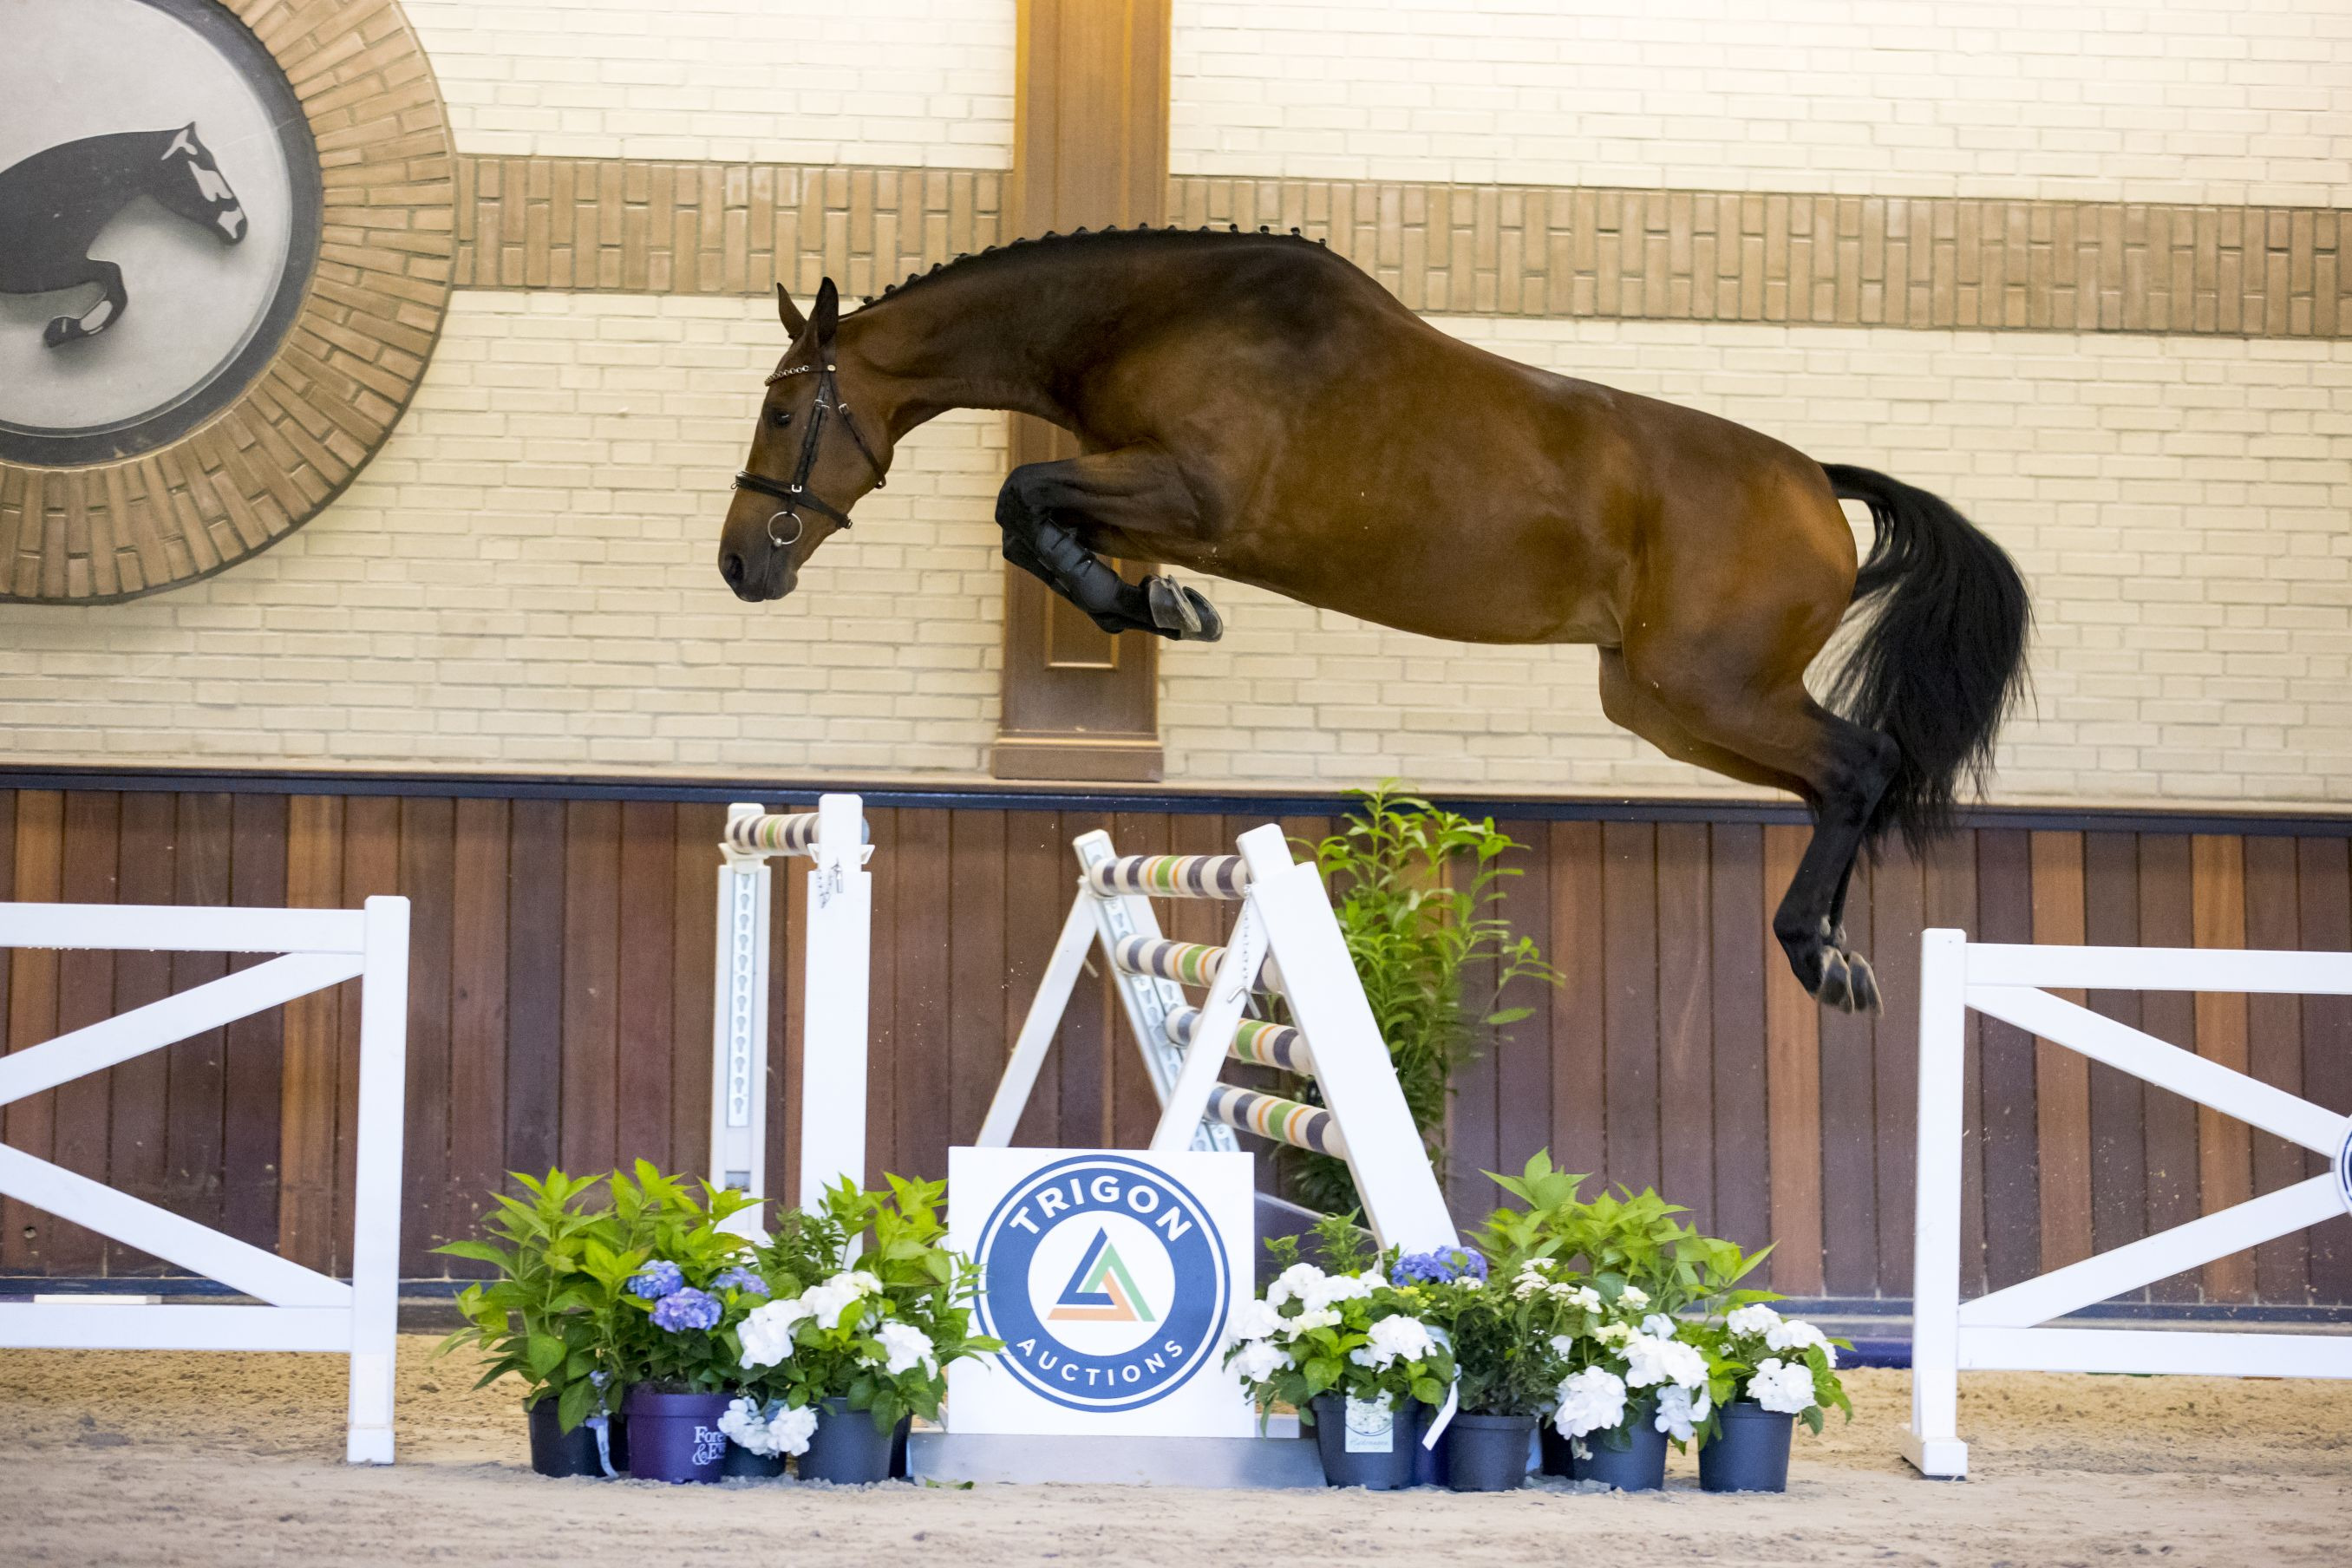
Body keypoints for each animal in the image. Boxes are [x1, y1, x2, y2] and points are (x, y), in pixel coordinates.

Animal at [0, 124, 247, 346]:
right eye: (202, 165)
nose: (239, 225)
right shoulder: (47, 271)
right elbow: (112, 273)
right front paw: (67, 328)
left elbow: (113, 275)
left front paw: (66, 327)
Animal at [719, 228, 2030, 1011]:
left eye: (784, 416)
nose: (740, 564)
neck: (1150, 316)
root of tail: (1815, 480)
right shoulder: (1145, 493)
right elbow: (1038, 525)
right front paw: (1152, 601)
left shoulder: (1191, 492)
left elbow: (1022, 500)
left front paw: (1161, 604)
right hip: (1666, 705)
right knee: (1834, 783)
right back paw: (1840, 947)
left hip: (1713, 687)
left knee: (1860, 766)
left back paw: (1821, 954)